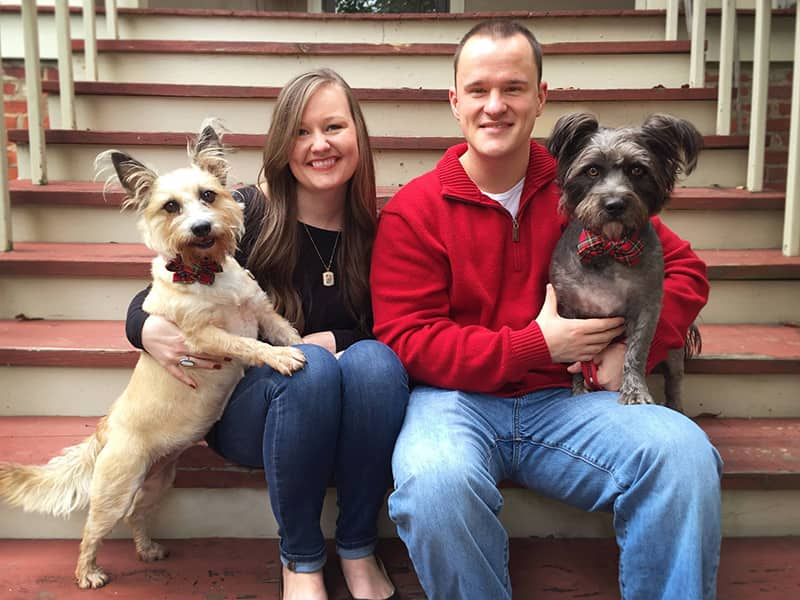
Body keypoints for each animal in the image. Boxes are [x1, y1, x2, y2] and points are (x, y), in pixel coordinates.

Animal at [0, 119, 304, 588]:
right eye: (170, 207)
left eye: (208, 196)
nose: (201, 228)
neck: (206, 273)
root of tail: (105, 429)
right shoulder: (202, 337)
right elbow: (248, 344)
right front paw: (282, 358)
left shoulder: (262, 312)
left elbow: (285, 331)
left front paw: (313, 349)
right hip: (115, 488)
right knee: (92, 531)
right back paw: (88, 574)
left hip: (158, 481)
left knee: (136, 518)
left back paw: (147, 550)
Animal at [548, 112, 704, 412]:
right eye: (592, 171)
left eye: (637, 170)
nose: (615, 204)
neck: (611, 248)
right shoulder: (571, 314)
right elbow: (578, 362)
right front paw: (580, 390)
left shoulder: (646, 309)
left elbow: (636, 352)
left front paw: (634, 390)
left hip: (674, 355)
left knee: (674, 382)